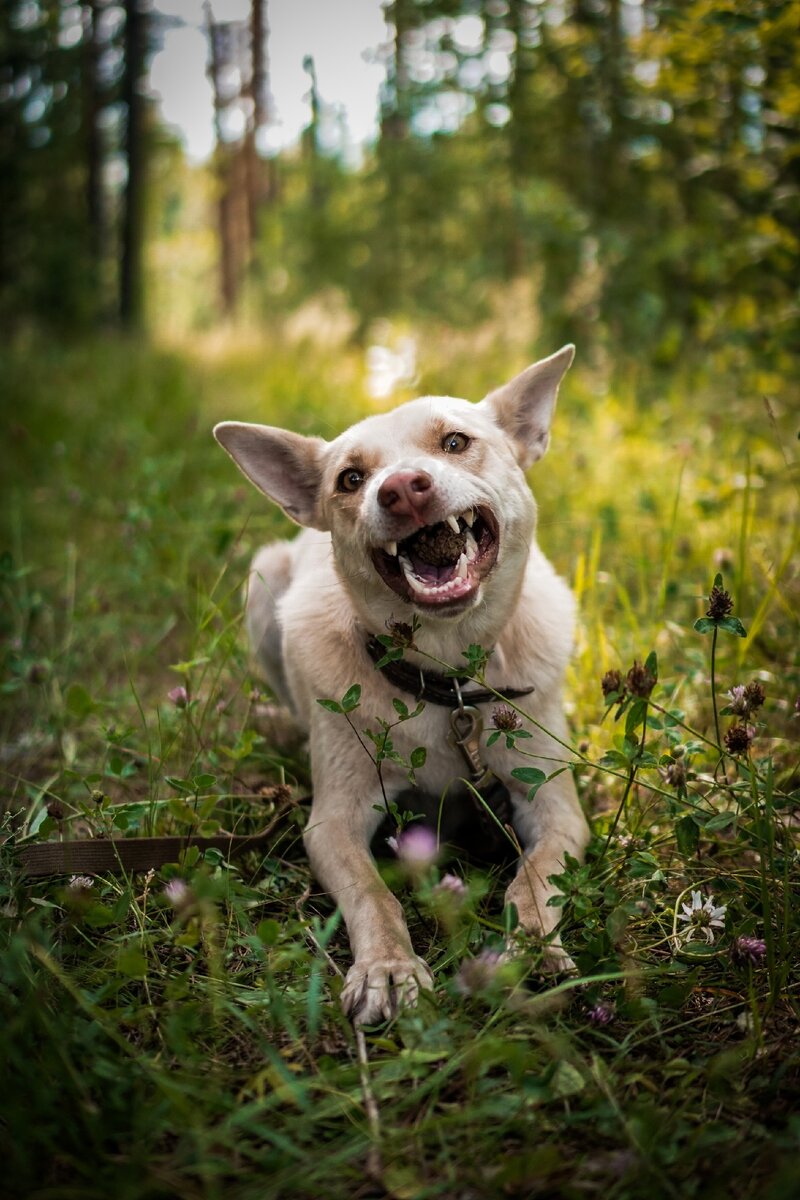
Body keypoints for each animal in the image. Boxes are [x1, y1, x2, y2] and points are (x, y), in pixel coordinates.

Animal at [215, 345, 592, 1022]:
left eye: (455, 441)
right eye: (350, 479)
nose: (400, 489)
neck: (447, 678)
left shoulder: (556, 809)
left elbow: (533, 881)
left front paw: (530, 948)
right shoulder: (333, 823)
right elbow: (373, 895)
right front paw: (387, 967)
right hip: (262, 581)